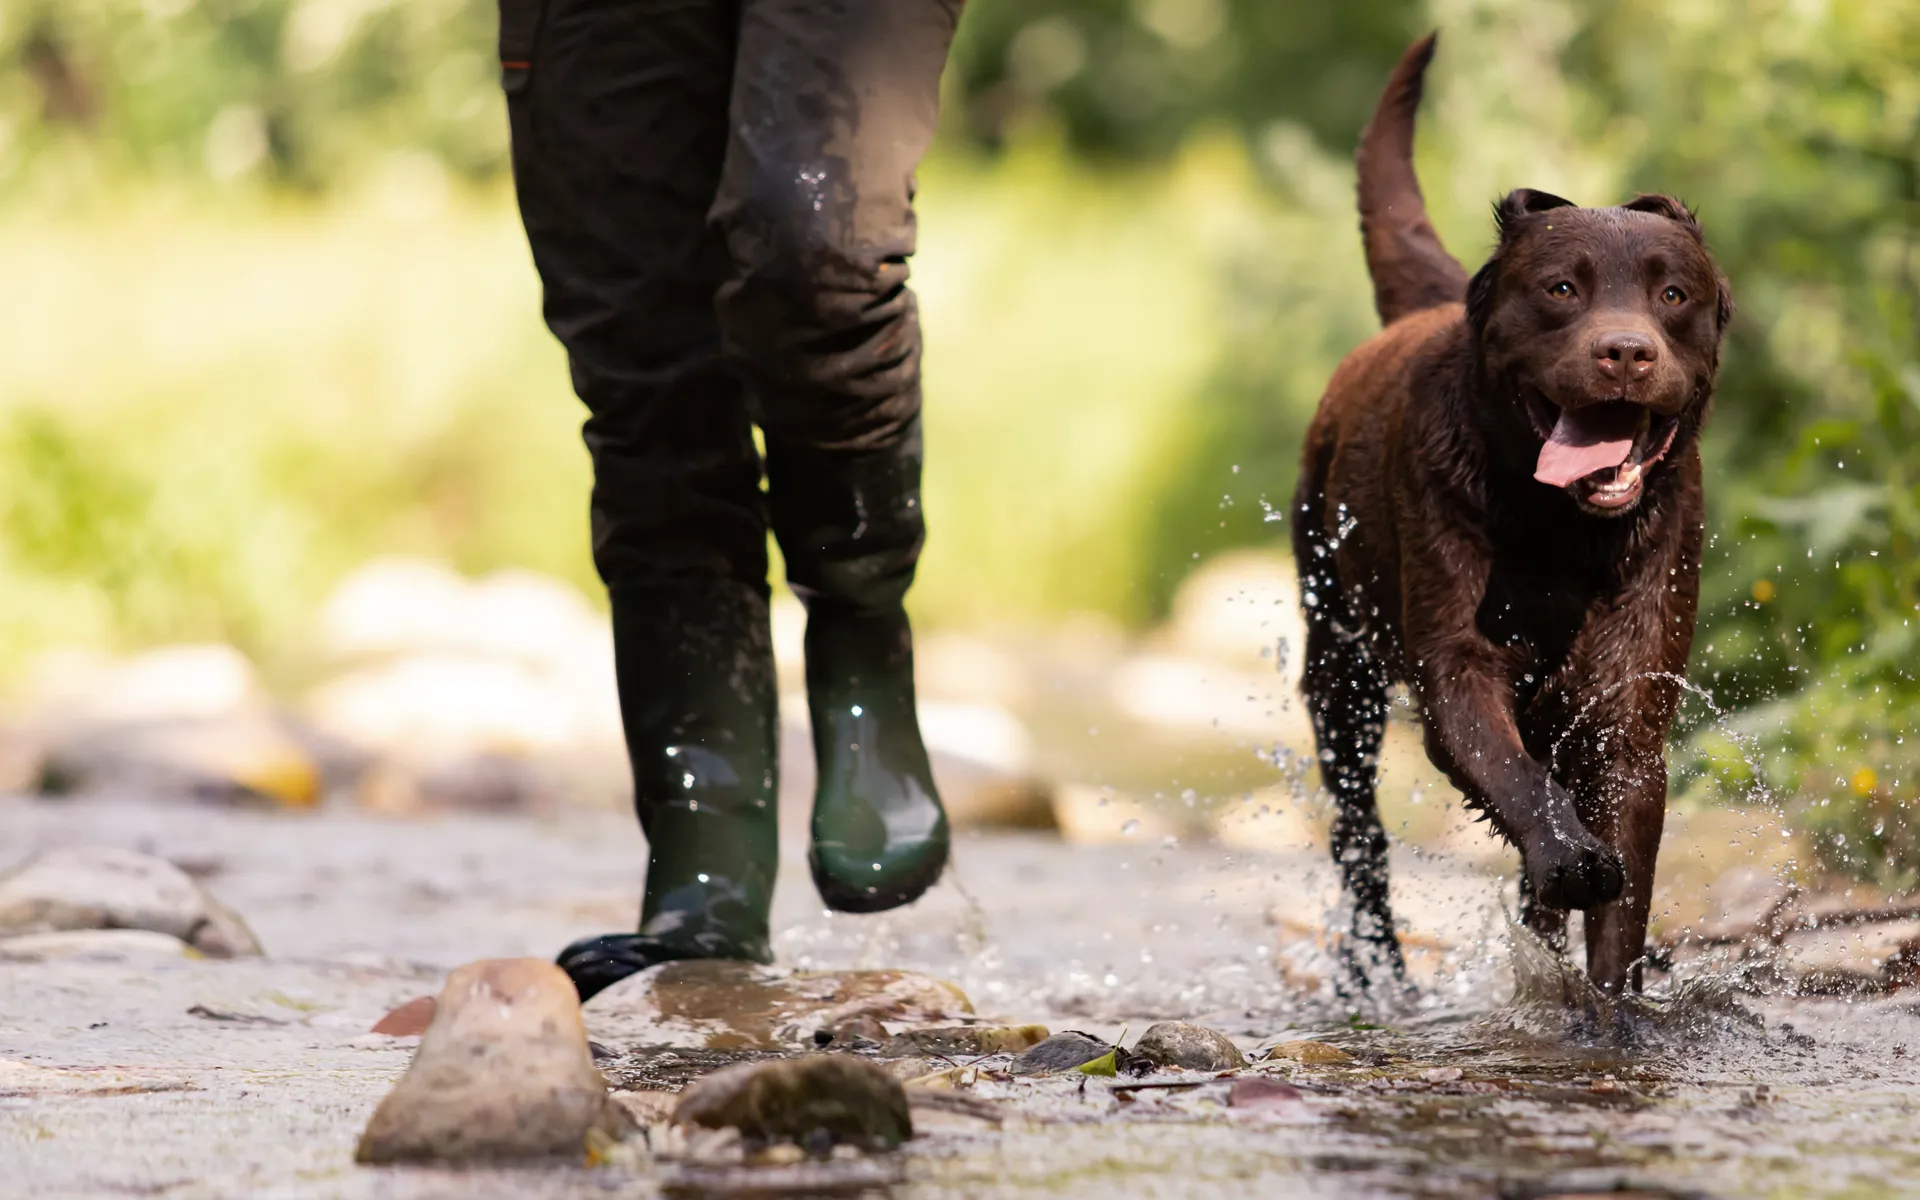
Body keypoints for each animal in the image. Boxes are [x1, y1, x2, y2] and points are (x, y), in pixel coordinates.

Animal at [1297, 35, 1735, 990]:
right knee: (1360, 838)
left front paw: (1609, 1006)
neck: (1560, 534)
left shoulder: (1628, 705)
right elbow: (1515, 777)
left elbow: (1621, 899)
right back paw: (1381, 974)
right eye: (1562, 289)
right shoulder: (1454, 668)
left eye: (1674, 296)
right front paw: (1571, 858)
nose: (1624, 352)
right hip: (1338, 665)